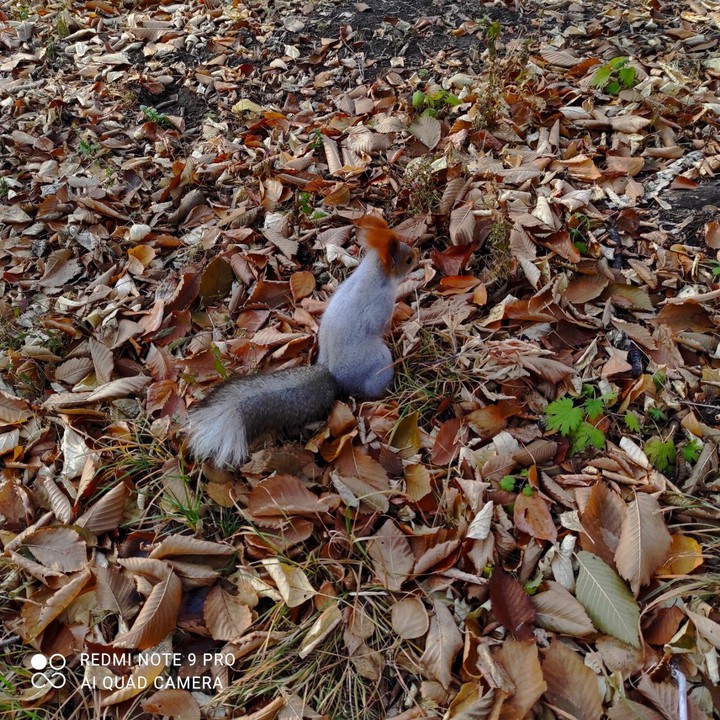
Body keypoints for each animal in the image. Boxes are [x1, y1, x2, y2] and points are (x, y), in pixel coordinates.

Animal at [184, 215, 418, 467]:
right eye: (407, 259)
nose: (417, 255)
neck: (374, 275)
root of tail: (333, 374)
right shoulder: (380, 306)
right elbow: (383, 324)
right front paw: (398, 324)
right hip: (380, 366)